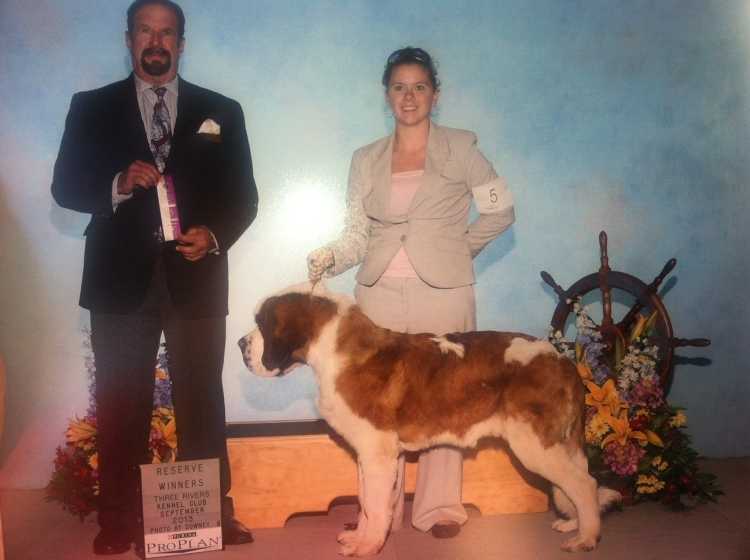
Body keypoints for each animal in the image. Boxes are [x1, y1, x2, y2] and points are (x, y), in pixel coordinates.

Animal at [238, 283, 620, 556]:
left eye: (262, 324)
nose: (241, 344)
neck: (334, 349)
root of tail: (563, 359)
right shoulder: (367, 455)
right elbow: (365, 502)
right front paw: (359, 538)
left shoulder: (378, 456)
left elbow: (374, 505)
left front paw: (368, 547)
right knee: (577, 481)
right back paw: (574, 525)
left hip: (535, 446)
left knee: (585, 484)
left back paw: (585, 538)